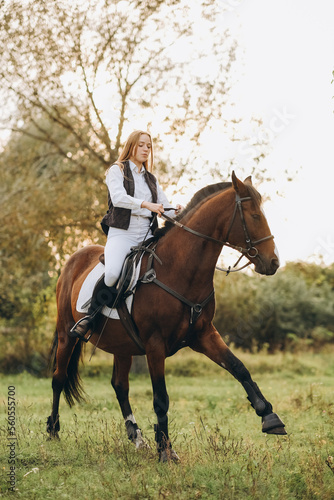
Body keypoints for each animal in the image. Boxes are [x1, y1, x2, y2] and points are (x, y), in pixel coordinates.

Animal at [47, 172, 288, 460]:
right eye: (254, 216)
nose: (273, 263)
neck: (178, 269)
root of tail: (73, 259)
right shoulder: (155, 344)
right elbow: (161, 398)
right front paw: (165, 450)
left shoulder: (204, 335)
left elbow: (240, 368)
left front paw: (270, 417)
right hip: (67, 334)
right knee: (59, 378)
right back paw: (53, 431)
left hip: (122, 345)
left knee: (120, 386)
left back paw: (136, 436)